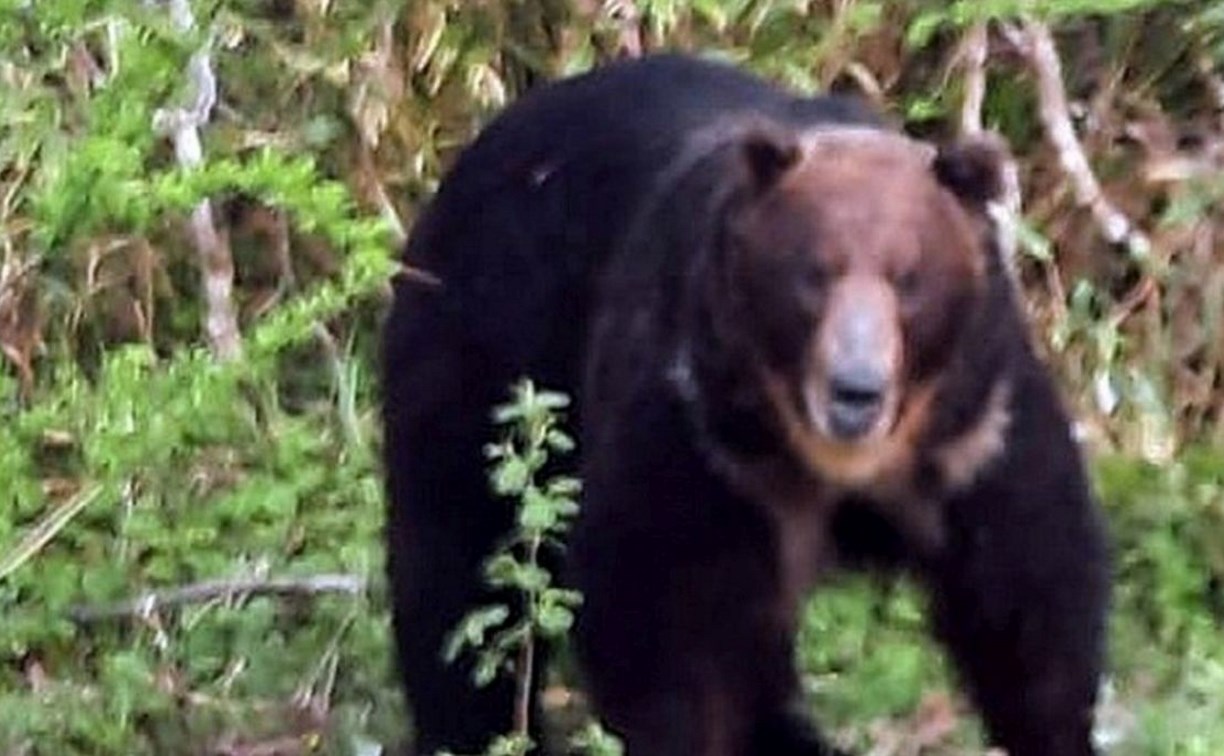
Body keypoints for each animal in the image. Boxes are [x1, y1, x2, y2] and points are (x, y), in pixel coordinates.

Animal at [381, 54, 1111, 753]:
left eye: (909, 280)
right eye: (814, 274)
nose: (856, 391)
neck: (835, 465)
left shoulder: (977, 433)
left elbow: (1030, 600)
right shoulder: (702, 435)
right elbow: (663, 620)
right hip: (488, 350)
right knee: (461, 566)